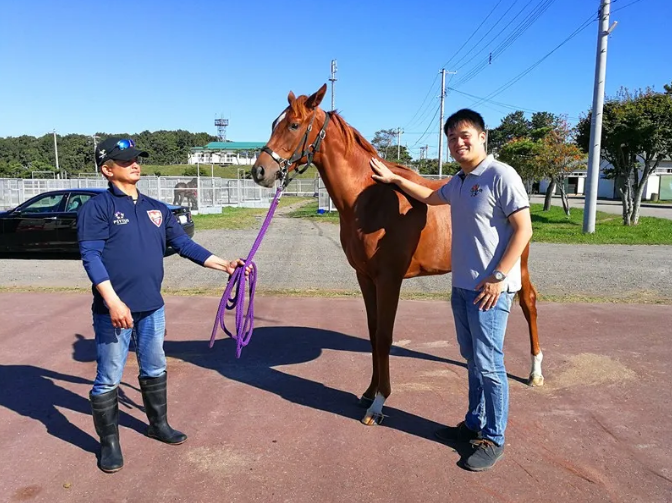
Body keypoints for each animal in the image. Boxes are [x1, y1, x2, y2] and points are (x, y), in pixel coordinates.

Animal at [249, 84, 544, 428]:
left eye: (294, 125)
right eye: (274, 123)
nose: (259, 171)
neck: (370, 199)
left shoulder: (389, 280)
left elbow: (385, 336)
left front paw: (378, 403)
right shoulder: (365, 278)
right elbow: (373, 331)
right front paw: (368, 392)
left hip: (519, 265)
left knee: (528, 303)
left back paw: (535, 372)